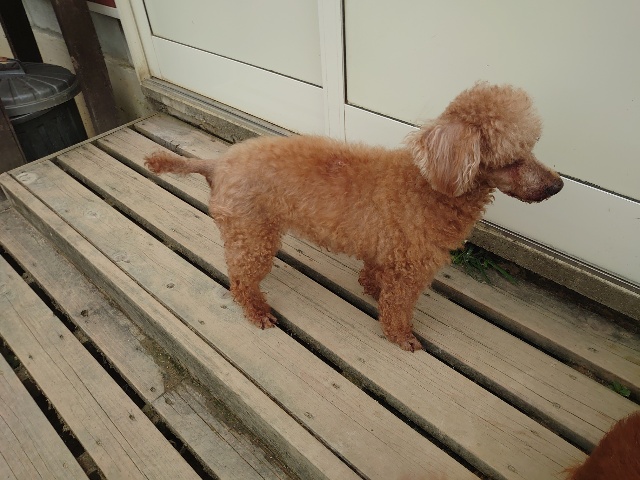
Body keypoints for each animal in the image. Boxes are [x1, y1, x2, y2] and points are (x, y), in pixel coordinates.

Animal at [145, 82, 563, 351]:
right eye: (512, 159)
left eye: (533, 148)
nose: (558, 186)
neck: (429, 185)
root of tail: (218, 163)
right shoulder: (411, 269)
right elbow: (397, 310)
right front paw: (402, 338)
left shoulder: (386, 250)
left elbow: (374, 278)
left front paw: (371, 289)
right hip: (253, 236)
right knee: (240, 281)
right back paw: (257, 311)